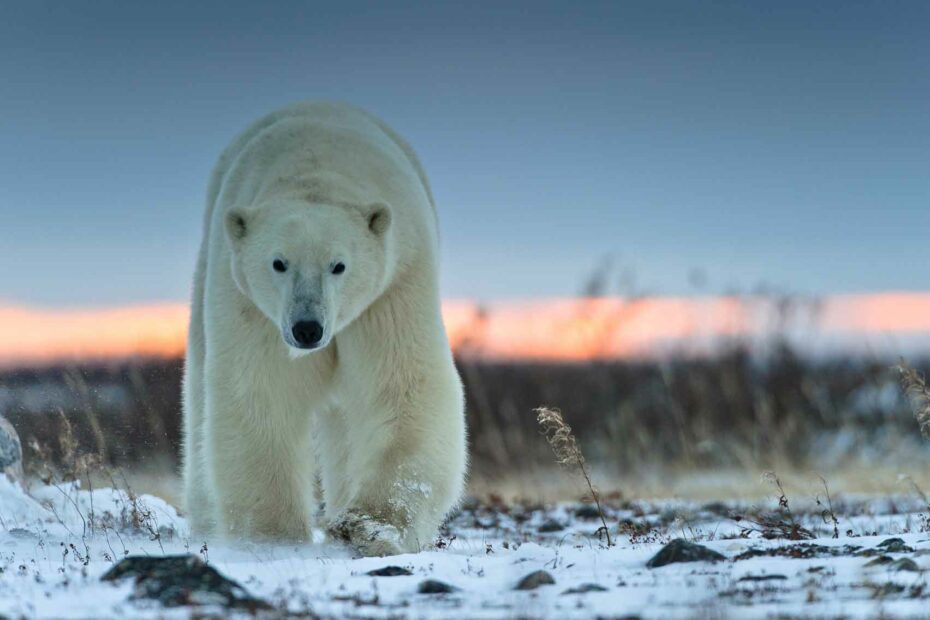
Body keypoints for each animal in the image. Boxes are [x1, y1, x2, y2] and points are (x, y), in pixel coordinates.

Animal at [181, 101, 468, 556]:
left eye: (339, 265)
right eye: (279, 262)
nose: (307, 329)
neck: (316, 171)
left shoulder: (395, 283)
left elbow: (403, 386)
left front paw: (370, 527)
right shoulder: (250, 303)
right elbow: (263, 392)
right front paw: (272, 536)